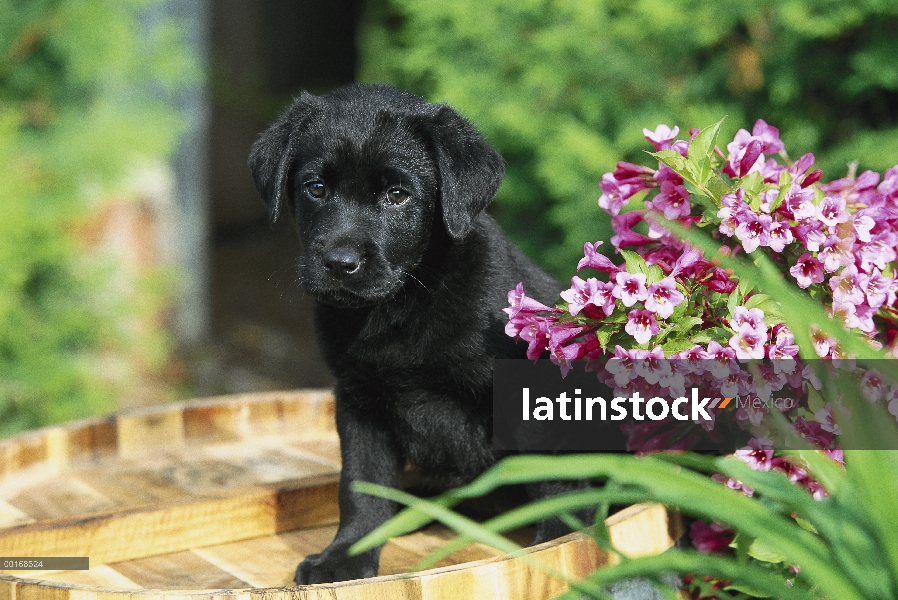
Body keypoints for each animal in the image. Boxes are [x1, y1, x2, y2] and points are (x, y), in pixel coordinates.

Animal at [247, 82, 568, 584]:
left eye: (397, 195)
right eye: (316, 188)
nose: (339, 263)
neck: (397, 308)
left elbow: (554, 476)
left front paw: (563, 540)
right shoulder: (359, 402)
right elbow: (361, 488)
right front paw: (346, 556)